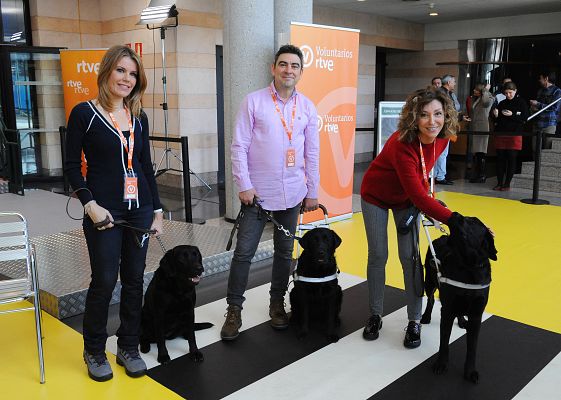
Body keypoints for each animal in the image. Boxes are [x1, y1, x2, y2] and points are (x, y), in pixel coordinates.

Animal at [422, 212, 496, 384]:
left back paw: (462, 321)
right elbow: (444, 342)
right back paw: (426, 316)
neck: (468, 266)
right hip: (429, 280)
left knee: (460, 310)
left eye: (473, 221)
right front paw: (441, 364)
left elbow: (472, 347)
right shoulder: (447, 310)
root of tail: (442, 237)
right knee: (430, 299)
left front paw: (470, 372)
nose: (455, 214)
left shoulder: (476, 314)